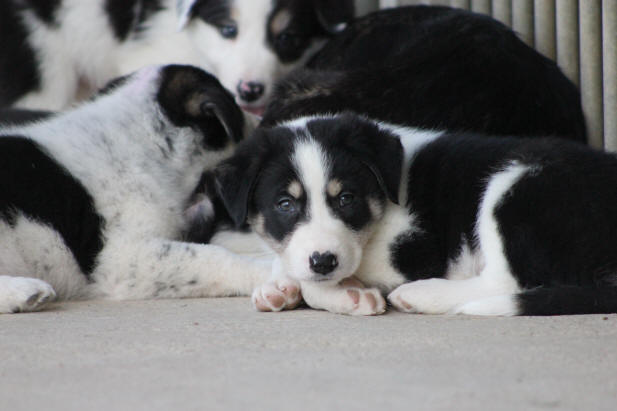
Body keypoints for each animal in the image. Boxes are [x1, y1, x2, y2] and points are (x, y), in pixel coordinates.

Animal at [0, 65, 270, 316]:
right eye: (233, 104)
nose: (262, 122)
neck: (144, 142)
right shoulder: (124, 258)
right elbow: (212, 255)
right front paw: (269, 272)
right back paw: (24, 291)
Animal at [215, 114, 616, 318]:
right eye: (285, 204)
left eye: (346, 199)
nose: (323, 261)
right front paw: (278, 288)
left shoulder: (412, 253)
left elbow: (323, 280)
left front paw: (349, 296)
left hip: (516, 184)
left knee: (510, 281)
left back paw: (423, 295)